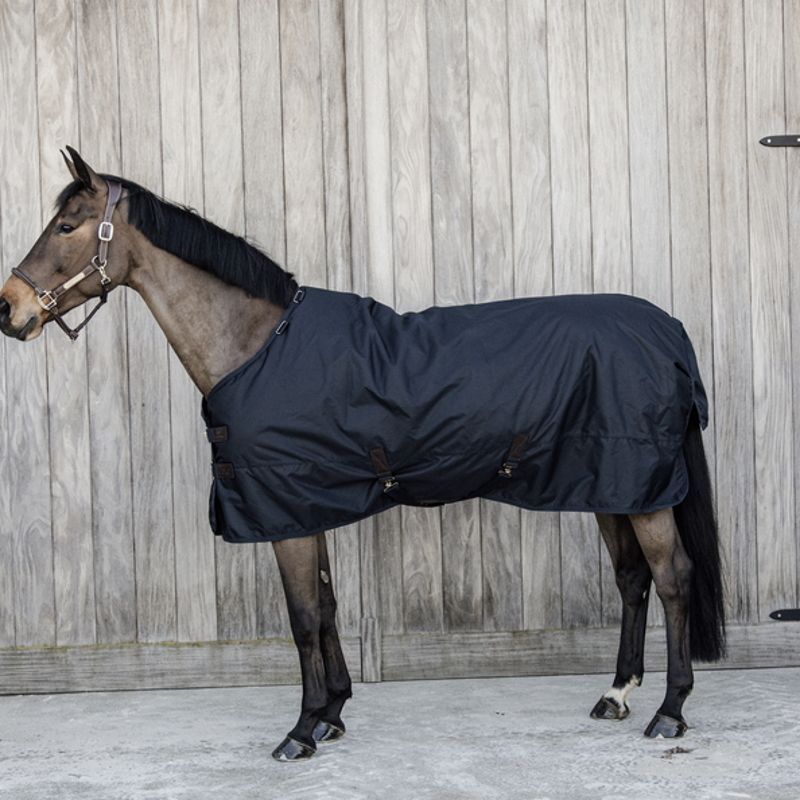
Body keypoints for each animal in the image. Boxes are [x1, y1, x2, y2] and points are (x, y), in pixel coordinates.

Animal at [0, 148, 725, 761]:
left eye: (66, 225)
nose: (9, 309)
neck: (258, 346)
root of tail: (667, 330)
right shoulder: (303, 506)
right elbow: (326, 607)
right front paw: (333, 714)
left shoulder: (283, 513)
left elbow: (301, 618)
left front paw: (300, 730)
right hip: (611, 486)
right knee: (632, 580)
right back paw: (616, 695)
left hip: (642, 491)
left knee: (673, 579)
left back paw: (670, 711)